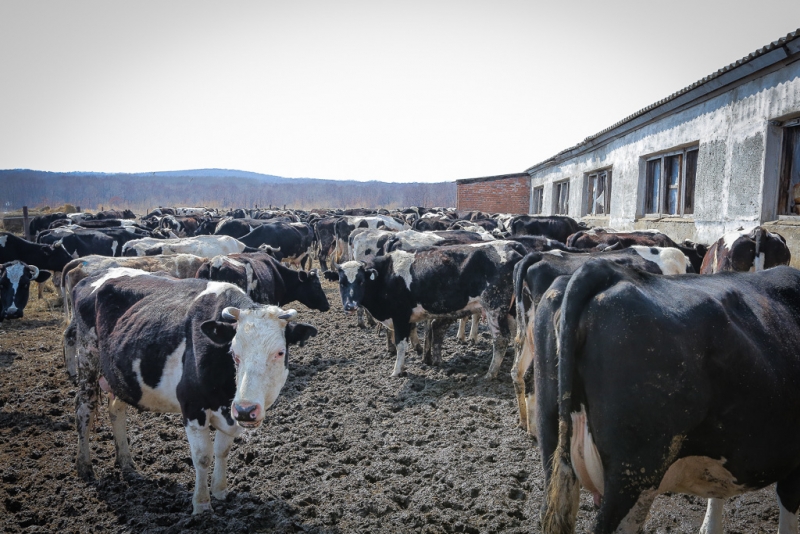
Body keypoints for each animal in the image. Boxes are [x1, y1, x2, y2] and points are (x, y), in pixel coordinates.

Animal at [70, 270, 318, 516]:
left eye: (280, 352)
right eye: (233, 352)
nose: (246, 410)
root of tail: (90, 277)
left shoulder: (230, 415)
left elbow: (222, 450)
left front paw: (220, 491)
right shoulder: (192, 407)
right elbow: (202, 457)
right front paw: (201, 504)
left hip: (119, 377)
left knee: (116, 410)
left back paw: (127, 465)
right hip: (87, 359)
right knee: (84, 410)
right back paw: (84, 466)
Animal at [324, 241, 524, 378]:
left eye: (360, 281)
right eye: (342, 283)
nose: (350, 306)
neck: (387, 275)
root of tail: (511, 245)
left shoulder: (400, 316)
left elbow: (401, 344)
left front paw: (397, 371)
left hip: (494, 306)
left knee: (501, 339)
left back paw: (491, 373)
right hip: (510, 310)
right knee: (516, 337)